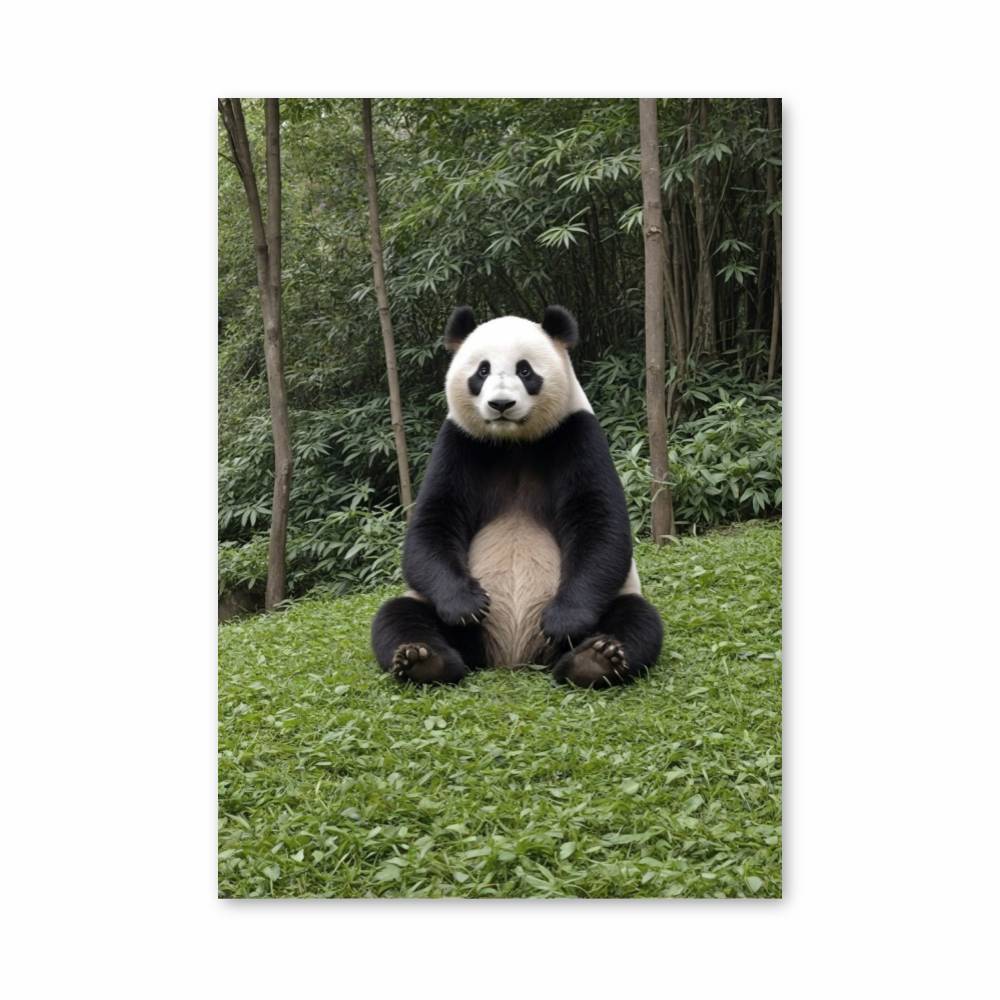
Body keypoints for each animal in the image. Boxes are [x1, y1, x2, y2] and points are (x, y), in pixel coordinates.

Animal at [371, 305, 663, 688]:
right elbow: (433, 524)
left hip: (615, 600)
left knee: (637, 618)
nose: (501, 404)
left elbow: (599, 525)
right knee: (398, 615)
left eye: (525, 371)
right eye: (482, 370)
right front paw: (466, 605)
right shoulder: (459, 442)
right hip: (446, 622)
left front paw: (563, 621)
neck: (513, 443)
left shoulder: (576, 433)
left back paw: (593, 660)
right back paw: (423, 659)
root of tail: (511, 658)